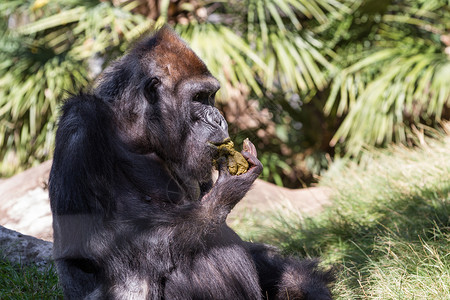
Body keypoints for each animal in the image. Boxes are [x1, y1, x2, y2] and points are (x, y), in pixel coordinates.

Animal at [49, 26, 332, 300]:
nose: (219, 118)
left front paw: (303, 284)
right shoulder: (80, 126)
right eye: (198, 97)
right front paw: (225, 193)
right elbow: (105, 240)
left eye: (210, 96)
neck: (133, 131)